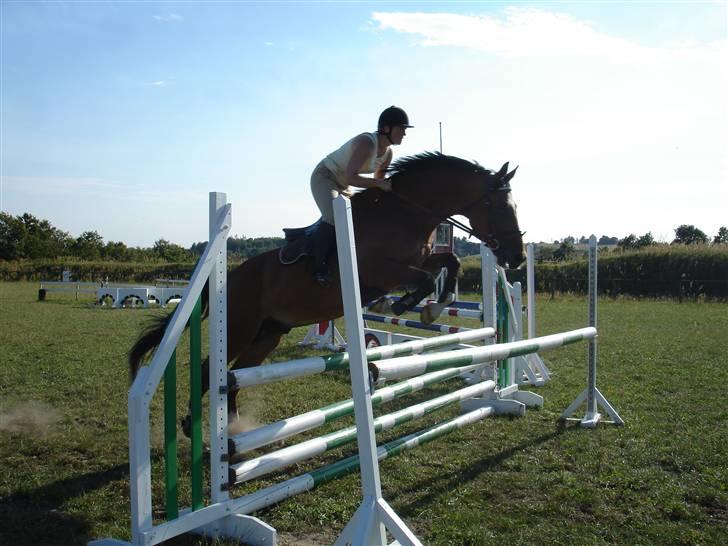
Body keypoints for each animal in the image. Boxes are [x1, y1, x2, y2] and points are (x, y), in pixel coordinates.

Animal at [129, 151, 524, 428]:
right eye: (498, 206)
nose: (516, 257)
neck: (404, 213)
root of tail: (229, 277)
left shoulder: (418, 261)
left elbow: (450, 263)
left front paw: (432, 308)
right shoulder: (379, 272)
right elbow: (425, 279)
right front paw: (405, 306)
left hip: (267, 334)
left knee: (235, 375)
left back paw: (236, 429)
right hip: (239, 327)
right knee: (212, 369)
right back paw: (190, 425)